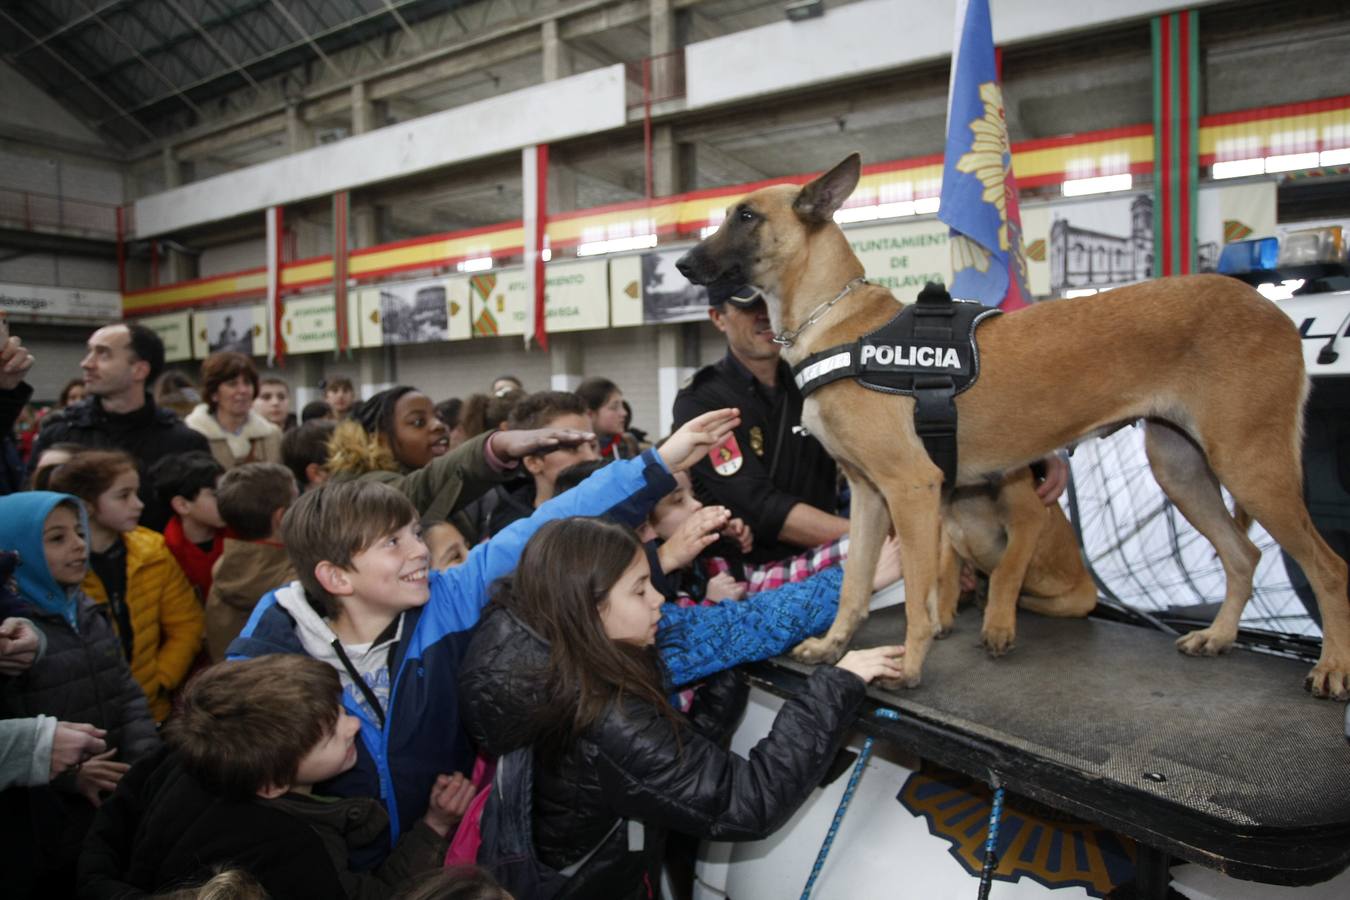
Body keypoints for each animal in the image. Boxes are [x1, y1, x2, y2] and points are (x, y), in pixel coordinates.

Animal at [675, 155, 1350, 701]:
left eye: (745, 215)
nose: (680, 263)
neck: (838, 322)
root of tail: (1272, 312)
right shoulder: (868, 497)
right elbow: (855, 585)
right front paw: (833, 646)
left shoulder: (911, 491)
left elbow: (917, 596)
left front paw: (910, 665)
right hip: (1182, 469)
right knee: (1244, 553)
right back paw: (1218, 637)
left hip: (1250, 466)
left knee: (1328, 567)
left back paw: (1331, 669)